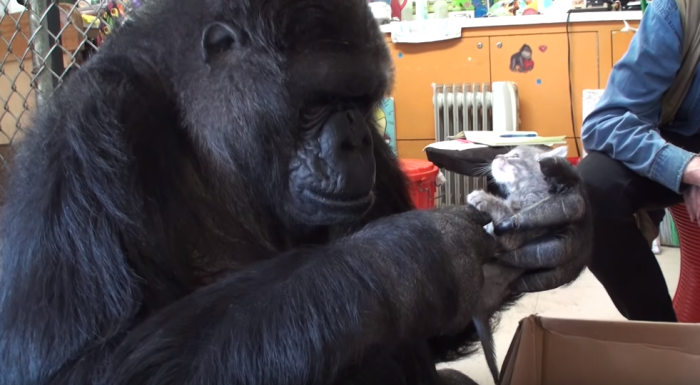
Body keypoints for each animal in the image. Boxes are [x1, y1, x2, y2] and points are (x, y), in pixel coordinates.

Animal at [468, 145, 576, 384]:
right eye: (507, 153)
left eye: (515, 156)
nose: (498, 156)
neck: (528, 190)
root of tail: (480, 309)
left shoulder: (515, 234)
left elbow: (504, 216)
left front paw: (482, 197)